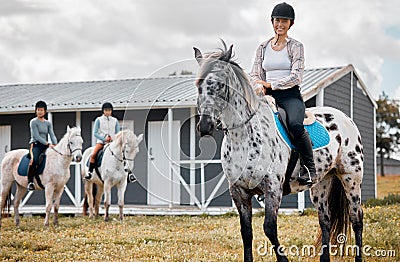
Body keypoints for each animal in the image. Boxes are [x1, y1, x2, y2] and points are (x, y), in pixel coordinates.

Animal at [192, 43, 364, 262]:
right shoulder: (239, 192)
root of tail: (346, 119)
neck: (243, 136)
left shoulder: (272, 189)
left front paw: (284, 260)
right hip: (321, 183)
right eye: (198, 86)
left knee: (356, 219)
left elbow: (269, 228)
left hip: (351, 178)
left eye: (221, 85)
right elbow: (246, 232)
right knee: (325, 221)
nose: (205, 126)